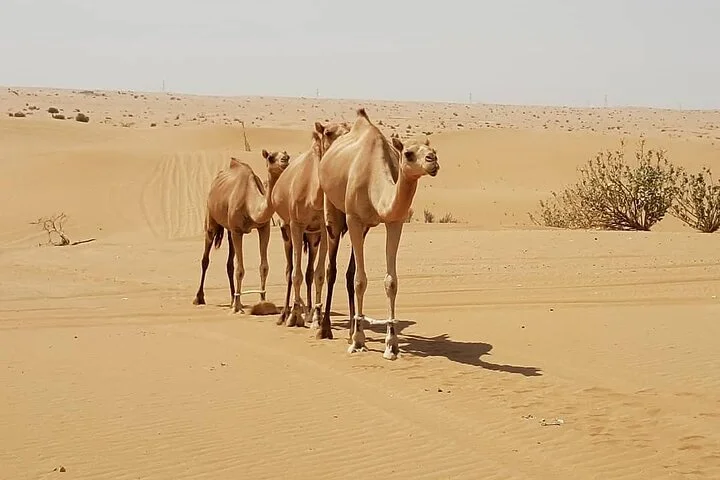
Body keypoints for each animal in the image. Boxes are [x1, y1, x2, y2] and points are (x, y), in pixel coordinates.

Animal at [193, 149, 290, 313]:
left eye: (286, 154)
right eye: (271, 157)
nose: (285, 160)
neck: (250, 204)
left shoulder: (264, 228)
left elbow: (264, 267)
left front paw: (262, 302)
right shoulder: (238, 230)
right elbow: (240, 270)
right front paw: (237, 307)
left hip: (230, 230)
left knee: (229, 264)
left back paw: (233, 298)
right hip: (211, 217)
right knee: (205, 258)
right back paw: (199, 298)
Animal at [271, 121, 350, 333]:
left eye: (350, 130)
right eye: (329, 132)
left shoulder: (324, 227)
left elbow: (318, 274)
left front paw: (316, 318)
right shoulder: (296, 224)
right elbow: (296, 274)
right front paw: (294, 316)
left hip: (313, 236)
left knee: (309, 271)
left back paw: (308, 313)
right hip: (286, 229)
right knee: (290, 269)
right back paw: (285, 315)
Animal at [318, 108, 440, 360]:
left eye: (432, 150)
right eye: (409, 153)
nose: (433, 161)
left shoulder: (394, 221)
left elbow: (390, 282)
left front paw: (391, 344)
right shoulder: (354, 219)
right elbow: (360, 280)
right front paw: (358, 341)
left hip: (363, 226)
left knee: (349, 270)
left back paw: (350, 329)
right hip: (332, 207)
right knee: (332, 266)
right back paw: (325, 329)